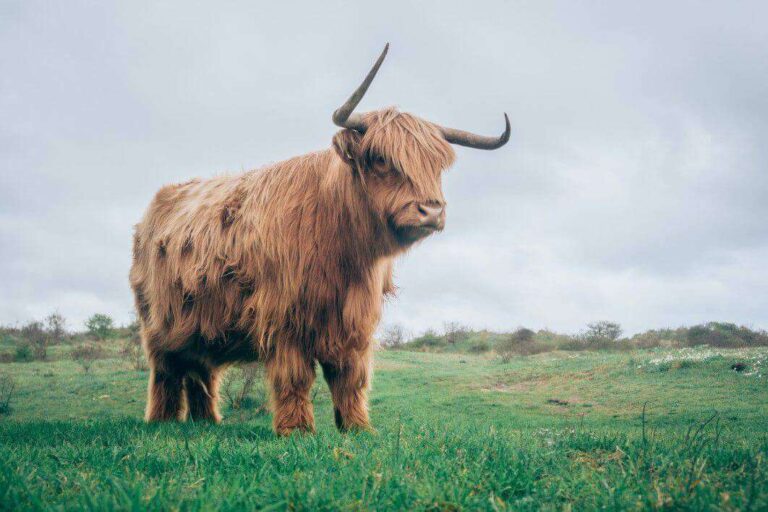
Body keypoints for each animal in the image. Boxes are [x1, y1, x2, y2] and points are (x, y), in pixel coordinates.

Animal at [130, 46, 510, 434]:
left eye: (436, 166)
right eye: (380, 159)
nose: (431, 211)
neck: (344, 249)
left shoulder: (355, 322)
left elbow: (350, 378)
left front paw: (357, 428)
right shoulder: (284, 317)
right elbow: (295, 377)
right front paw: (296, 430)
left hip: (199, 325)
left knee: (200, 371)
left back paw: (206, 422)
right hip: (158, 323)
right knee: (166, 371)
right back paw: (162, 421)